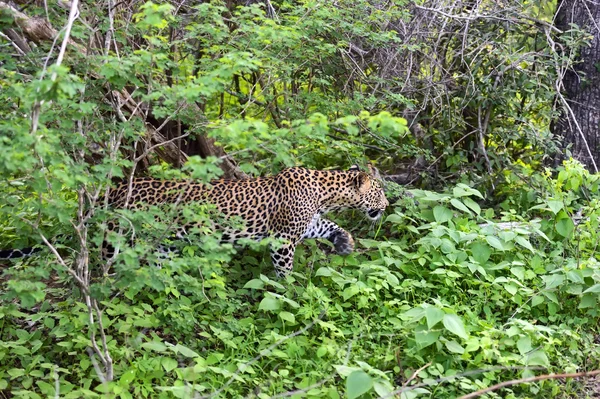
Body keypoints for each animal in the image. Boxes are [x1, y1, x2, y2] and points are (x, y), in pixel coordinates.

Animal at [0, 166, 390, 278]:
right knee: (107, 263)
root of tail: (113, 190)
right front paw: (288, 292)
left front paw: (345, 243)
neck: (327, 190)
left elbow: (330, 228)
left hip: (163, 243)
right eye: (379, 190)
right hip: (118, 238)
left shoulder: (307, 225)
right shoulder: (283, 238)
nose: (387, 205)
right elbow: (284, 272)